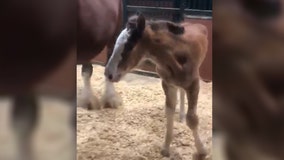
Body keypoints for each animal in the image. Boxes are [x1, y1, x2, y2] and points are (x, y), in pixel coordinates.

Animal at [104, 13, 209, 159]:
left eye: (130, 45)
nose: (108, 74)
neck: (175, 58)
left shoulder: (194, 84)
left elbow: (192, 119)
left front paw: (202, 150)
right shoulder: (167, 84)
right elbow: (169, 112)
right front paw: (165, 148)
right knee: (181, 91)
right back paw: (181, 115)